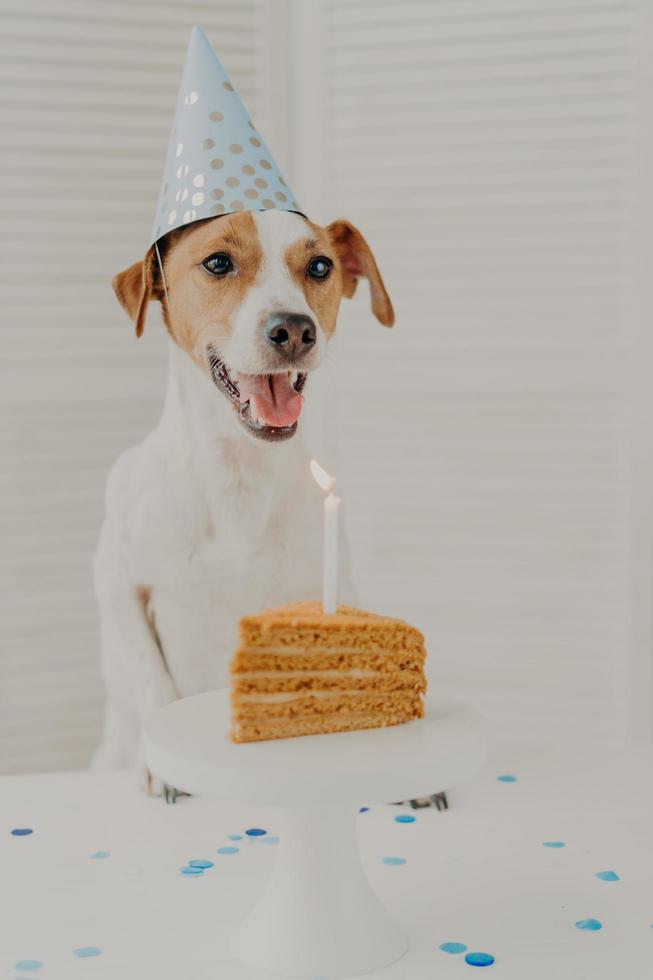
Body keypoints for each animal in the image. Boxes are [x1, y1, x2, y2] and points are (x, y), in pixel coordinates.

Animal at [91, 209, 392, 788]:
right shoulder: (118, 587)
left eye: (320, 266)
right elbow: (150, 677)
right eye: (217, 262)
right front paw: (162, 771)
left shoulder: (332, 585)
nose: (294, 329)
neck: (238, 474)